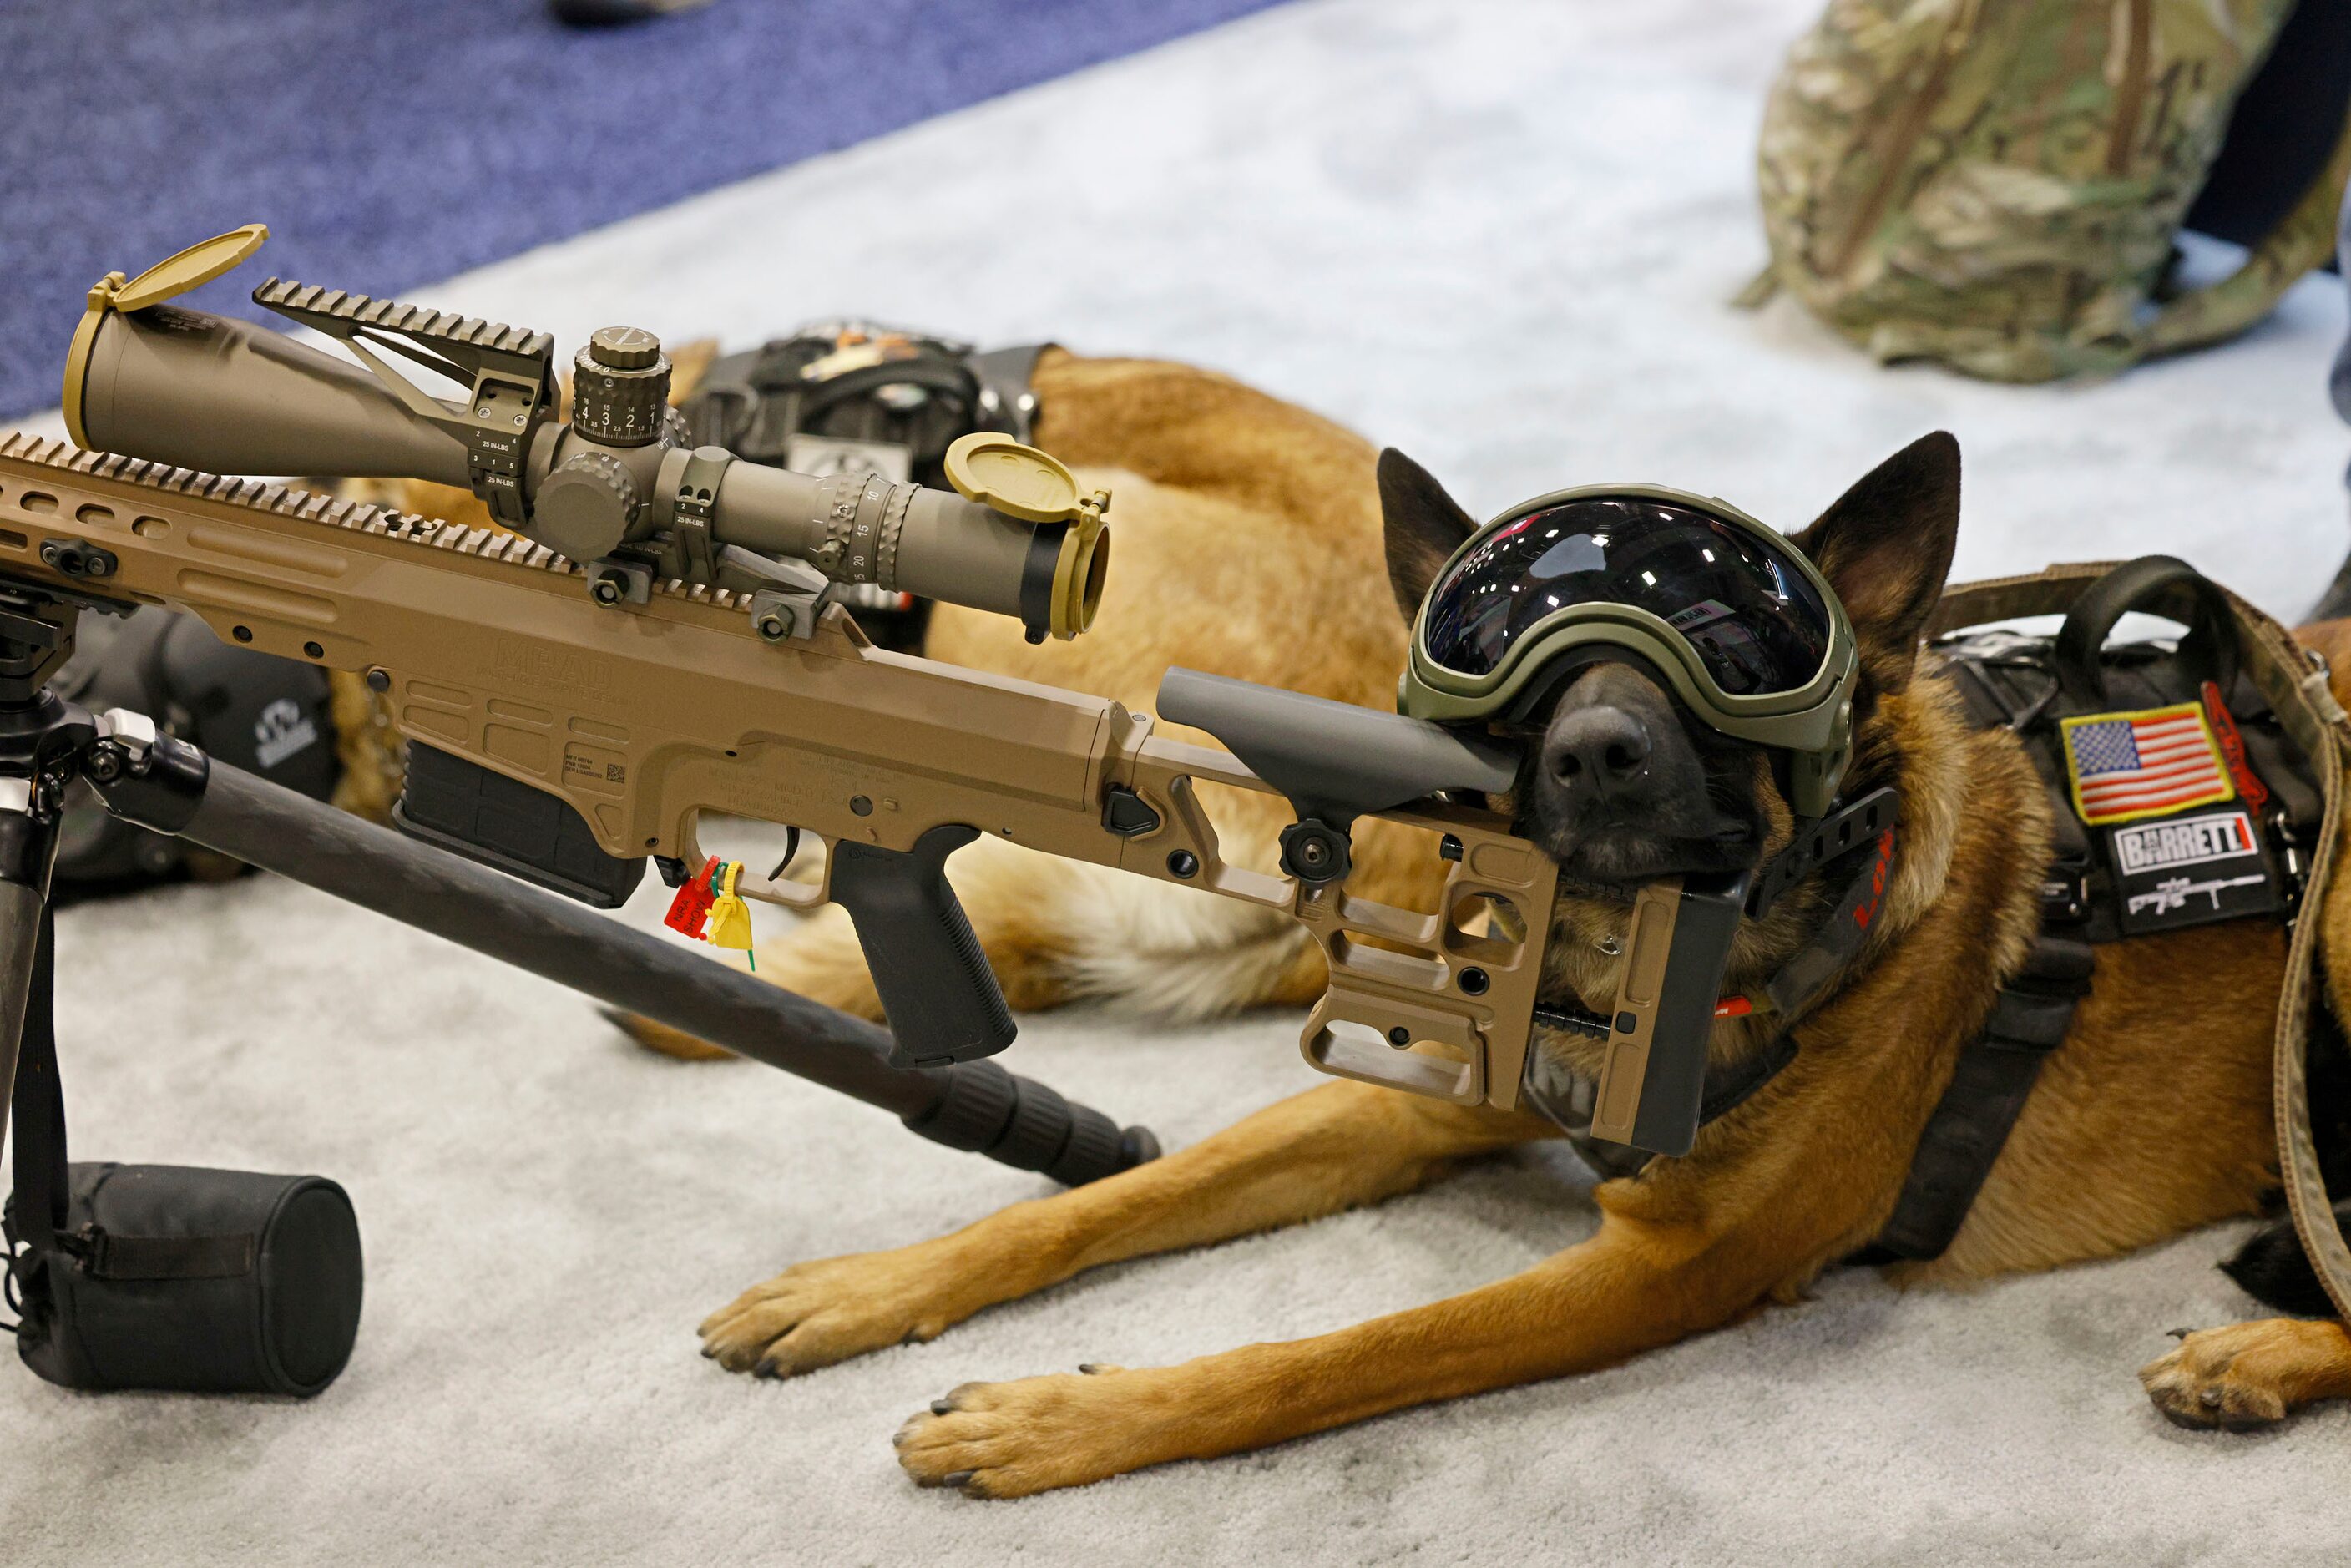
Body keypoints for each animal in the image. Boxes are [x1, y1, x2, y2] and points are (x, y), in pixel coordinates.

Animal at [597, 352, 2351, 1495]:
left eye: (1736, 638)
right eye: (1498, 634)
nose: (1596, 754)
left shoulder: (1666, 1271)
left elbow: (1324, 1360)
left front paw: (1055, 1424)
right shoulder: (1408, 1100)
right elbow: (1095, 1201)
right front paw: (868, 1284)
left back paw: (2257, 1355)